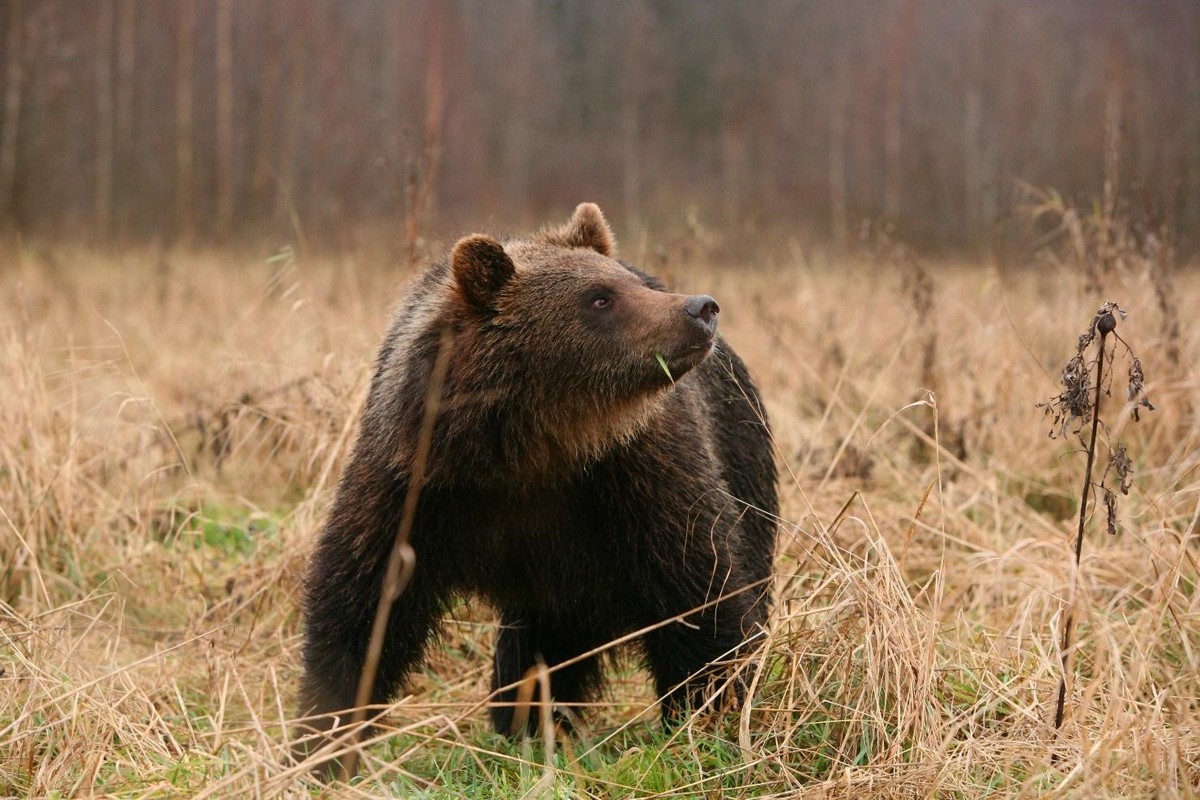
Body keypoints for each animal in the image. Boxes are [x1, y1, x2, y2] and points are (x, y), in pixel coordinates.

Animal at [295, 203, 772, 772]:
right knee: (538, 646)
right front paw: (319, 741)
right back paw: (529, 722)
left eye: (631, 282)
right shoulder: (414, 487)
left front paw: (712, 717)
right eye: (600, 297)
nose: (700, 308)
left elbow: (701, 595)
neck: (528, 449)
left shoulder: (637, 481)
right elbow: (359, 610)